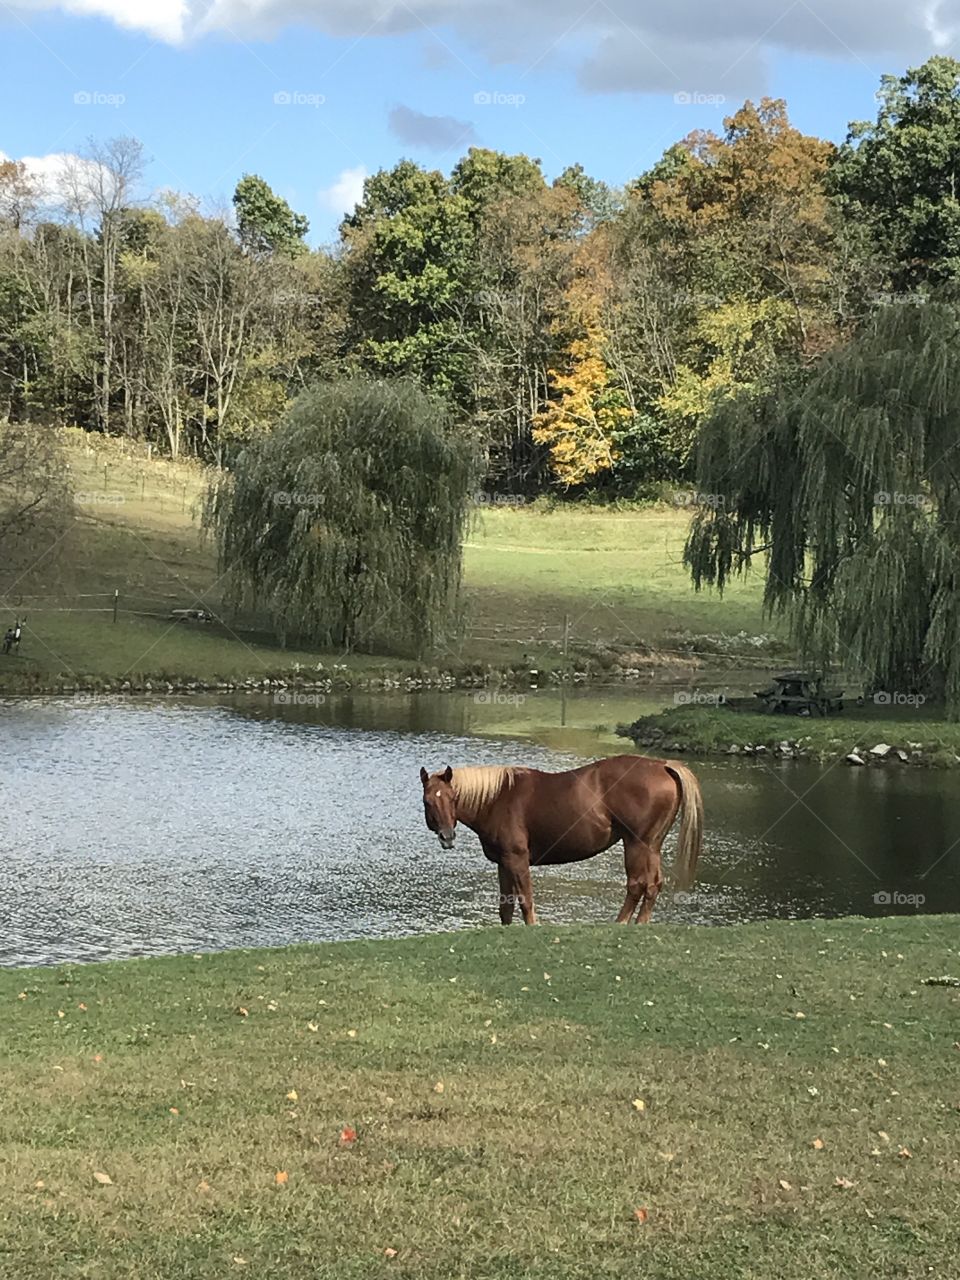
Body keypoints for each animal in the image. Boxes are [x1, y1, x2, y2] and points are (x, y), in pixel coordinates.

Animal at [419, 752, 706, 926]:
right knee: (654, 885)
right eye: (427, 801)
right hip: (652, 845)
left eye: (452, 798)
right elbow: (506, 907)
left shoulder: (517, 859)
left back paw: (620, 924)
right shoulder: (504, 862)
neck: (497, 798)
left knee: (637, 885)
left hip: (636, 844)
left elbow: (526, 901)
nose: (447, 836)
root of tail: (662, 765)